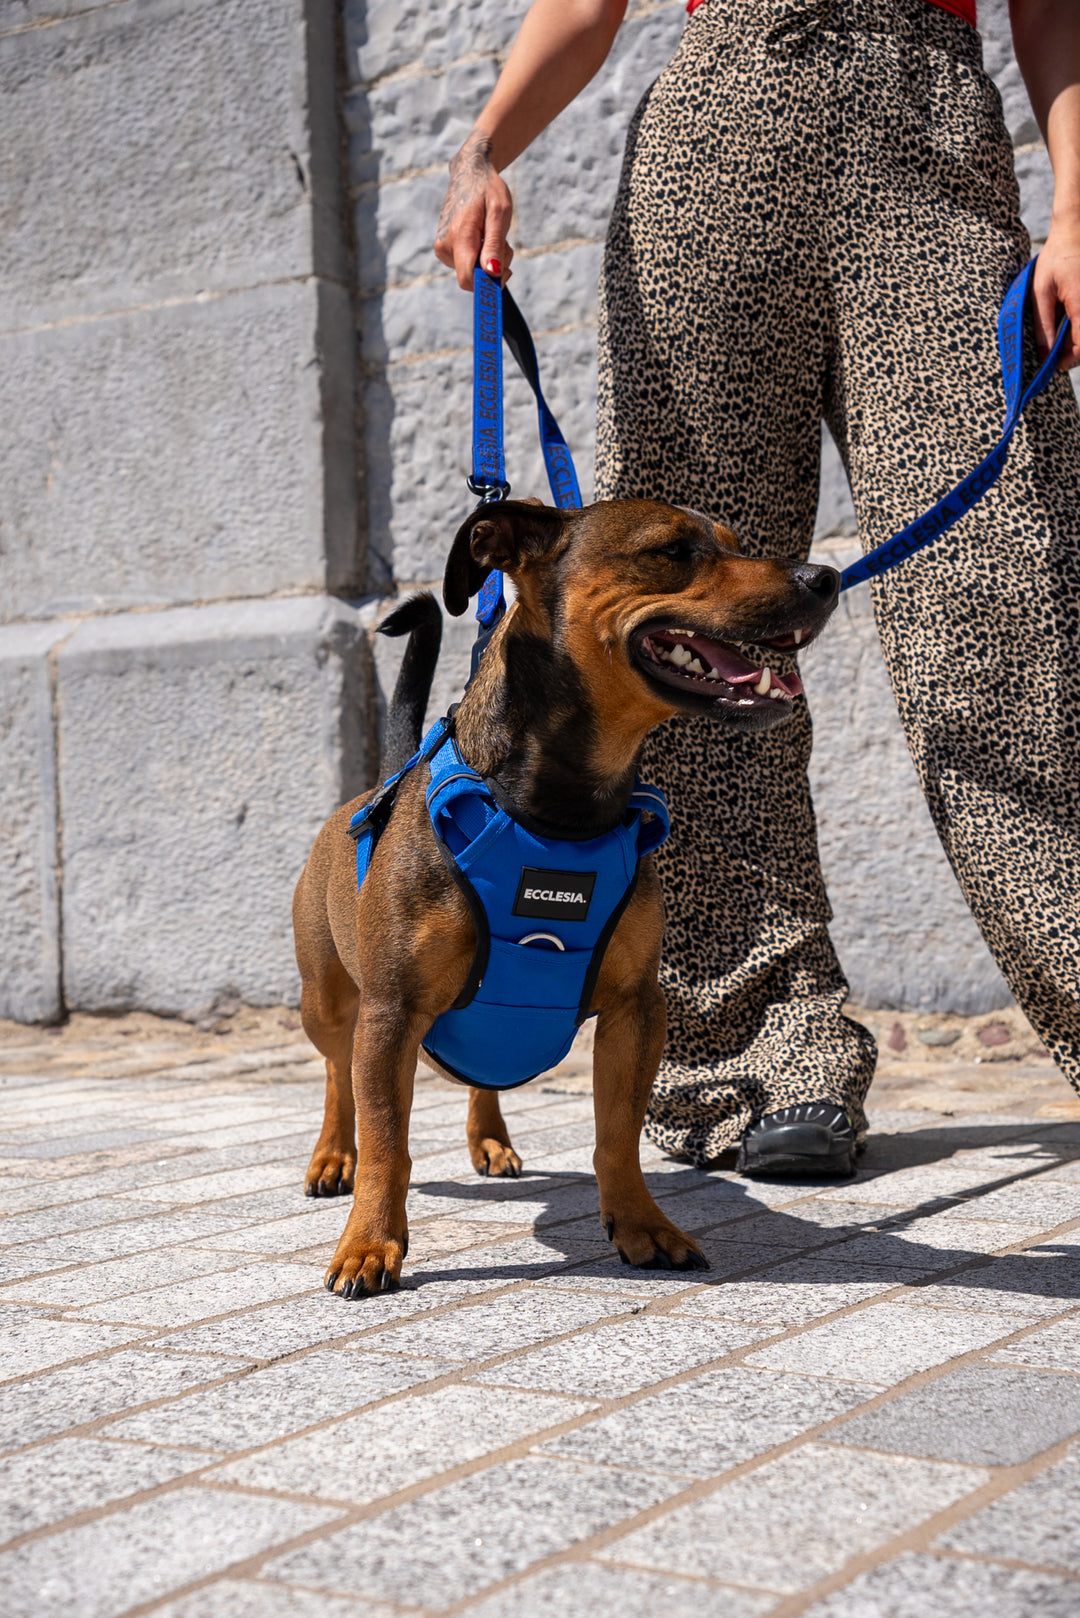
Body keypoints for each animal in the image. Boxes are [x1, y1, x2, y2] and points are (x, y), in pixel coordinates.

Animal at [296, 498, 841, 1294]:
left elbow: (617, 1136)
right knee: (339, 1074)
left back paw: (491, 1141)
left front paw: (642, 1225)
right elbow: (389, 1143)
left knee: (481, 1073)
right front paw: (369, 1242)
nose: (824, 576)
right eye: (672, 551)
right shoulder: (392, 1011)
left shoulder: (636, 1010)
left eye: (736, 542)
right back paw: (335, 1156)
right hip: (331, 1000)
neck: (559, 813)